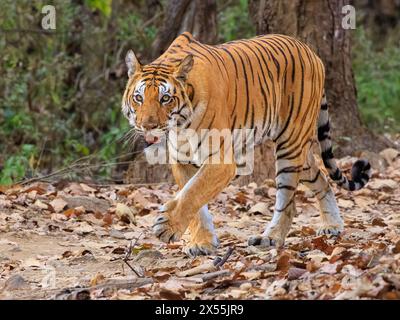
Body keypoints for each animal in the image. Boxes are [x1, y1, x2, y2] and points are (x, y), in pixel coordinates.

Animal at [120, 32, 370, 258]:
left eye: (165, 98)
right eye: (139, 98)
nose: (148, 126)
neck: (180, 125)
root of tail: (312, 53)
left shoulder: (221, 161)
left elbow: (193, 193)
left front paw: (167, 227)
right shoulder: (182, 160)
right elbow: (195, 201)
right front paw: (202, 243)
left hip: (290, 144)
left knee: (288, 202)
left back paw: (271, 238)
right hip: (301, 151)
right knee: (322, 180)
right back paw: (333, 225)